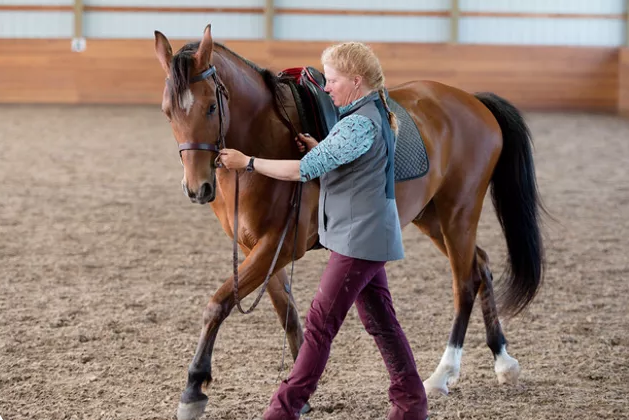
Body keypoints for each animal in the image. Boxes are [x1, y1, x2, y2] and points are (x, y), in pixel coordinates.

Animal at [153, 23, 544, 420]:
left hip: (458, 213)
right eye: (167, 112)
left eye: (210, 107)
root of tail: (473, 101)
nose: (197, 188)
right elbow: (287, 312)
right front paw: (300, 390)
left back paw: (443, 374)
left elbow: (218, 304)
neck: (268, 138)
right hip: (432, 217)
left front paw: (194, 388)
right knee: (481, 266)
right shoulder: (257, 247)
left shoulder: (281, 244)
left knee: (464, 283)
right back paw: (503, 361)